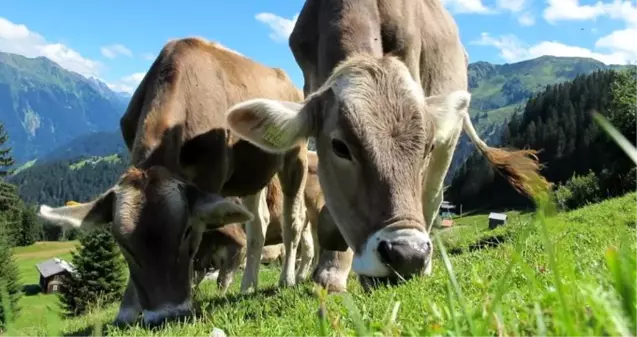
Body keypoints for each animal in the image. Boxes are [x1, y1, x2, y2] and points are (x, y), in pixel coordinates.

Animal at [36, 36, 310, 326]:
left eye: (187, 231)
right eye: (123, 244)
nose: (166, 315)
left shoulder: (211, 177)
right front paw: (128, 309)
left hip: (296, 156)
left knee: (293, 220)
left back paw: (287, 279)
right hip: (251, 174)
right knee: (258, 223)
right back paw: (248, 285)